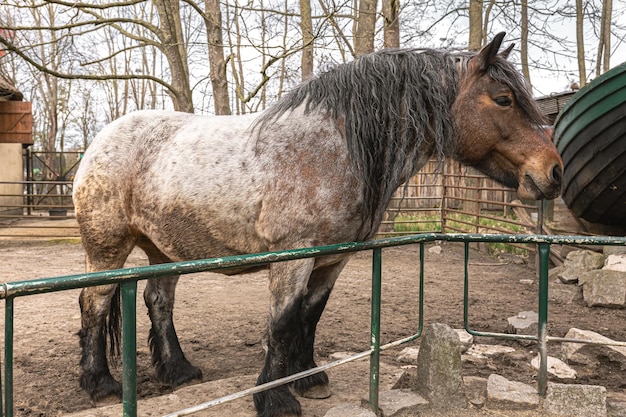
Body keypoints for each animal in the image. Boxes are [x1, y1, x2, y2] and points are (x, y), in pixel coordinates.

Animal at [72, 33, 560, 416]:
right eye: (503, 99)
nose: (553, 172)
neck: (335, 149)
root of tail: (100, 140)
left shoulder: (332, 258)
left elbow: (310, 315)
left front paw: (308, 378)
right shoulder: (294, 257)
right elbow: (283, 322)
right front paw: (275, 399)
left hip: (163, 250)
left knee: (158, 302)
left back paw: (179, 371)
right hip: (107, 248)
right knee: (94, 304)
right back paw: (100, 384)